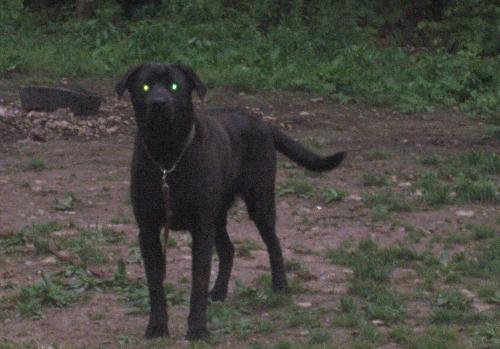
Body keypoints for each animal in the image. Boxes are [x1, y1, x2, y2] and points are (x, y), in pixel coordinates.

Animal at [115, 64, 346, 338]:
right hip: (218, 216)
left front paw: (197, 329)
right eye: (145, 86)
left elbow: (198, 281)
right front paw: (158, 326)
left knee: (274, 243)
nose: (159, 102)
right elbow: (155, 283)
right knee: (229, 249)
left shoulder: (201, 228)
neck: (167, 158)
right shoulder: (148, 231)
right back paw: (219, 292)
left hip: (259, 203)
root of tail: (262, 123)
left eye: (174, 86)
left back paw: (280, 286)